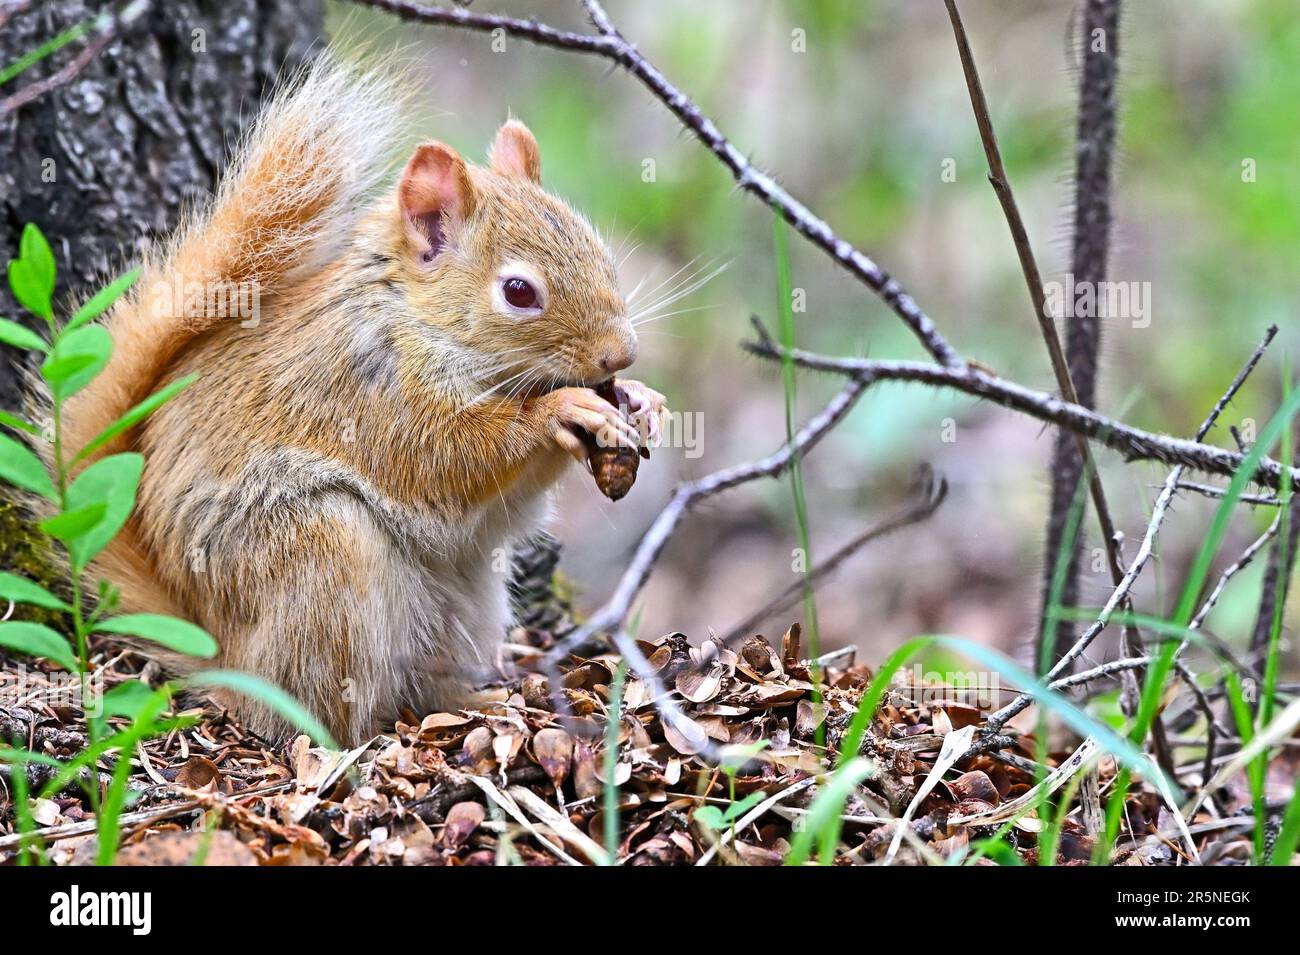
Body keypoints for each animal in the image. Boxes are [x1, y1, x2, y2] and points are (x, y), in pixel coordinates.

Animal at [48, 58, 668, 745]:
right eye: (518, 291)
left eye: (601, 253)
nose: (620, 355)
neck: (417, 320)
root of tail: (230, 662)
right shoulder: (373, 391)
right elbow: (449, 458)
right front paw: (559, 412)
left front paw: (643, 402)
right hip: (323, 556)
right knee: (322, 709)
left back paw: (472, 698)